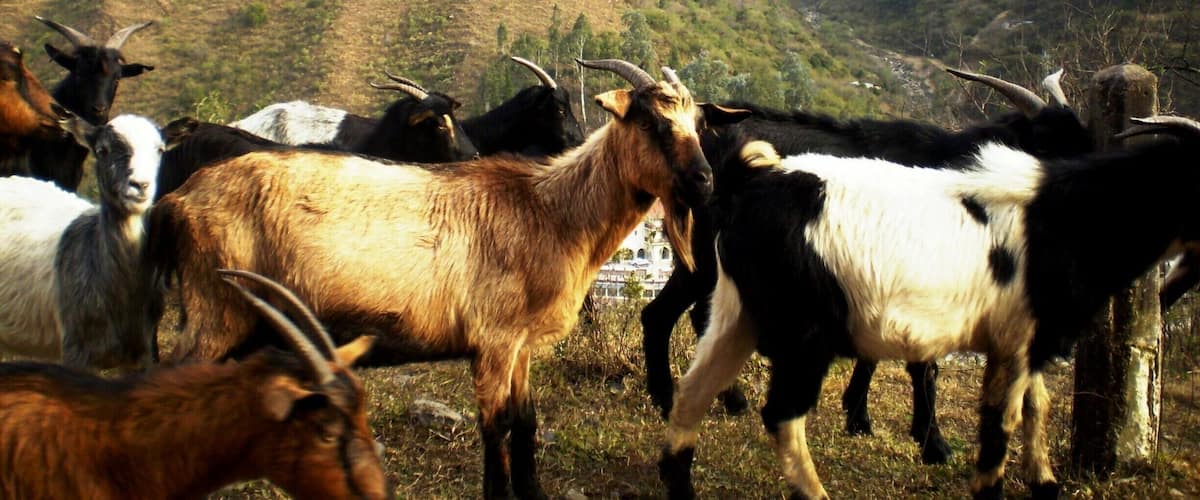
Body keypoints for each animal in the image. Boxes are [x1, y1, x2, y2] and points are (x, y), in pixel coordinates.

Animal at [150, 58, 748, 499]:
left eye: (698, 126)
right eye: (652, 122)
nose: (704, 180)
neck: (550, 211)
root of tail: (178, 199)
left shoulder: (519, 346)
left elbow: (526, 422)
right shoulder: (492, 340)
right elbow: (496, 429)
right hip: (215, 310)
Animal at [644, 67, 1093, 465]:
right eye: (1045, 149)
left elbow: (874, 352)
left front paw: (858, 416)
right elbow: (923, 364)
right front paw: (933, 444)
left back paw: (727, 397)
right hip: (704, 257)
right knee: (660, 314)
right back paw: (667, 399)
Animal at [658, 115, 1200, 499]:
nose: (1177, 286)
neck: (1068, 215)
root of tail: (748, 180)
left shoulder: (1026, 340)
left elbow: (1035, 405)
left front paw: (1044, 482)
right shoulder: (1018, 337)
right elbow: (998, 426)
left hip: (737, 312)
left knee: (693, 391)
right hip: (804, 331)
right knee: (781, 413)